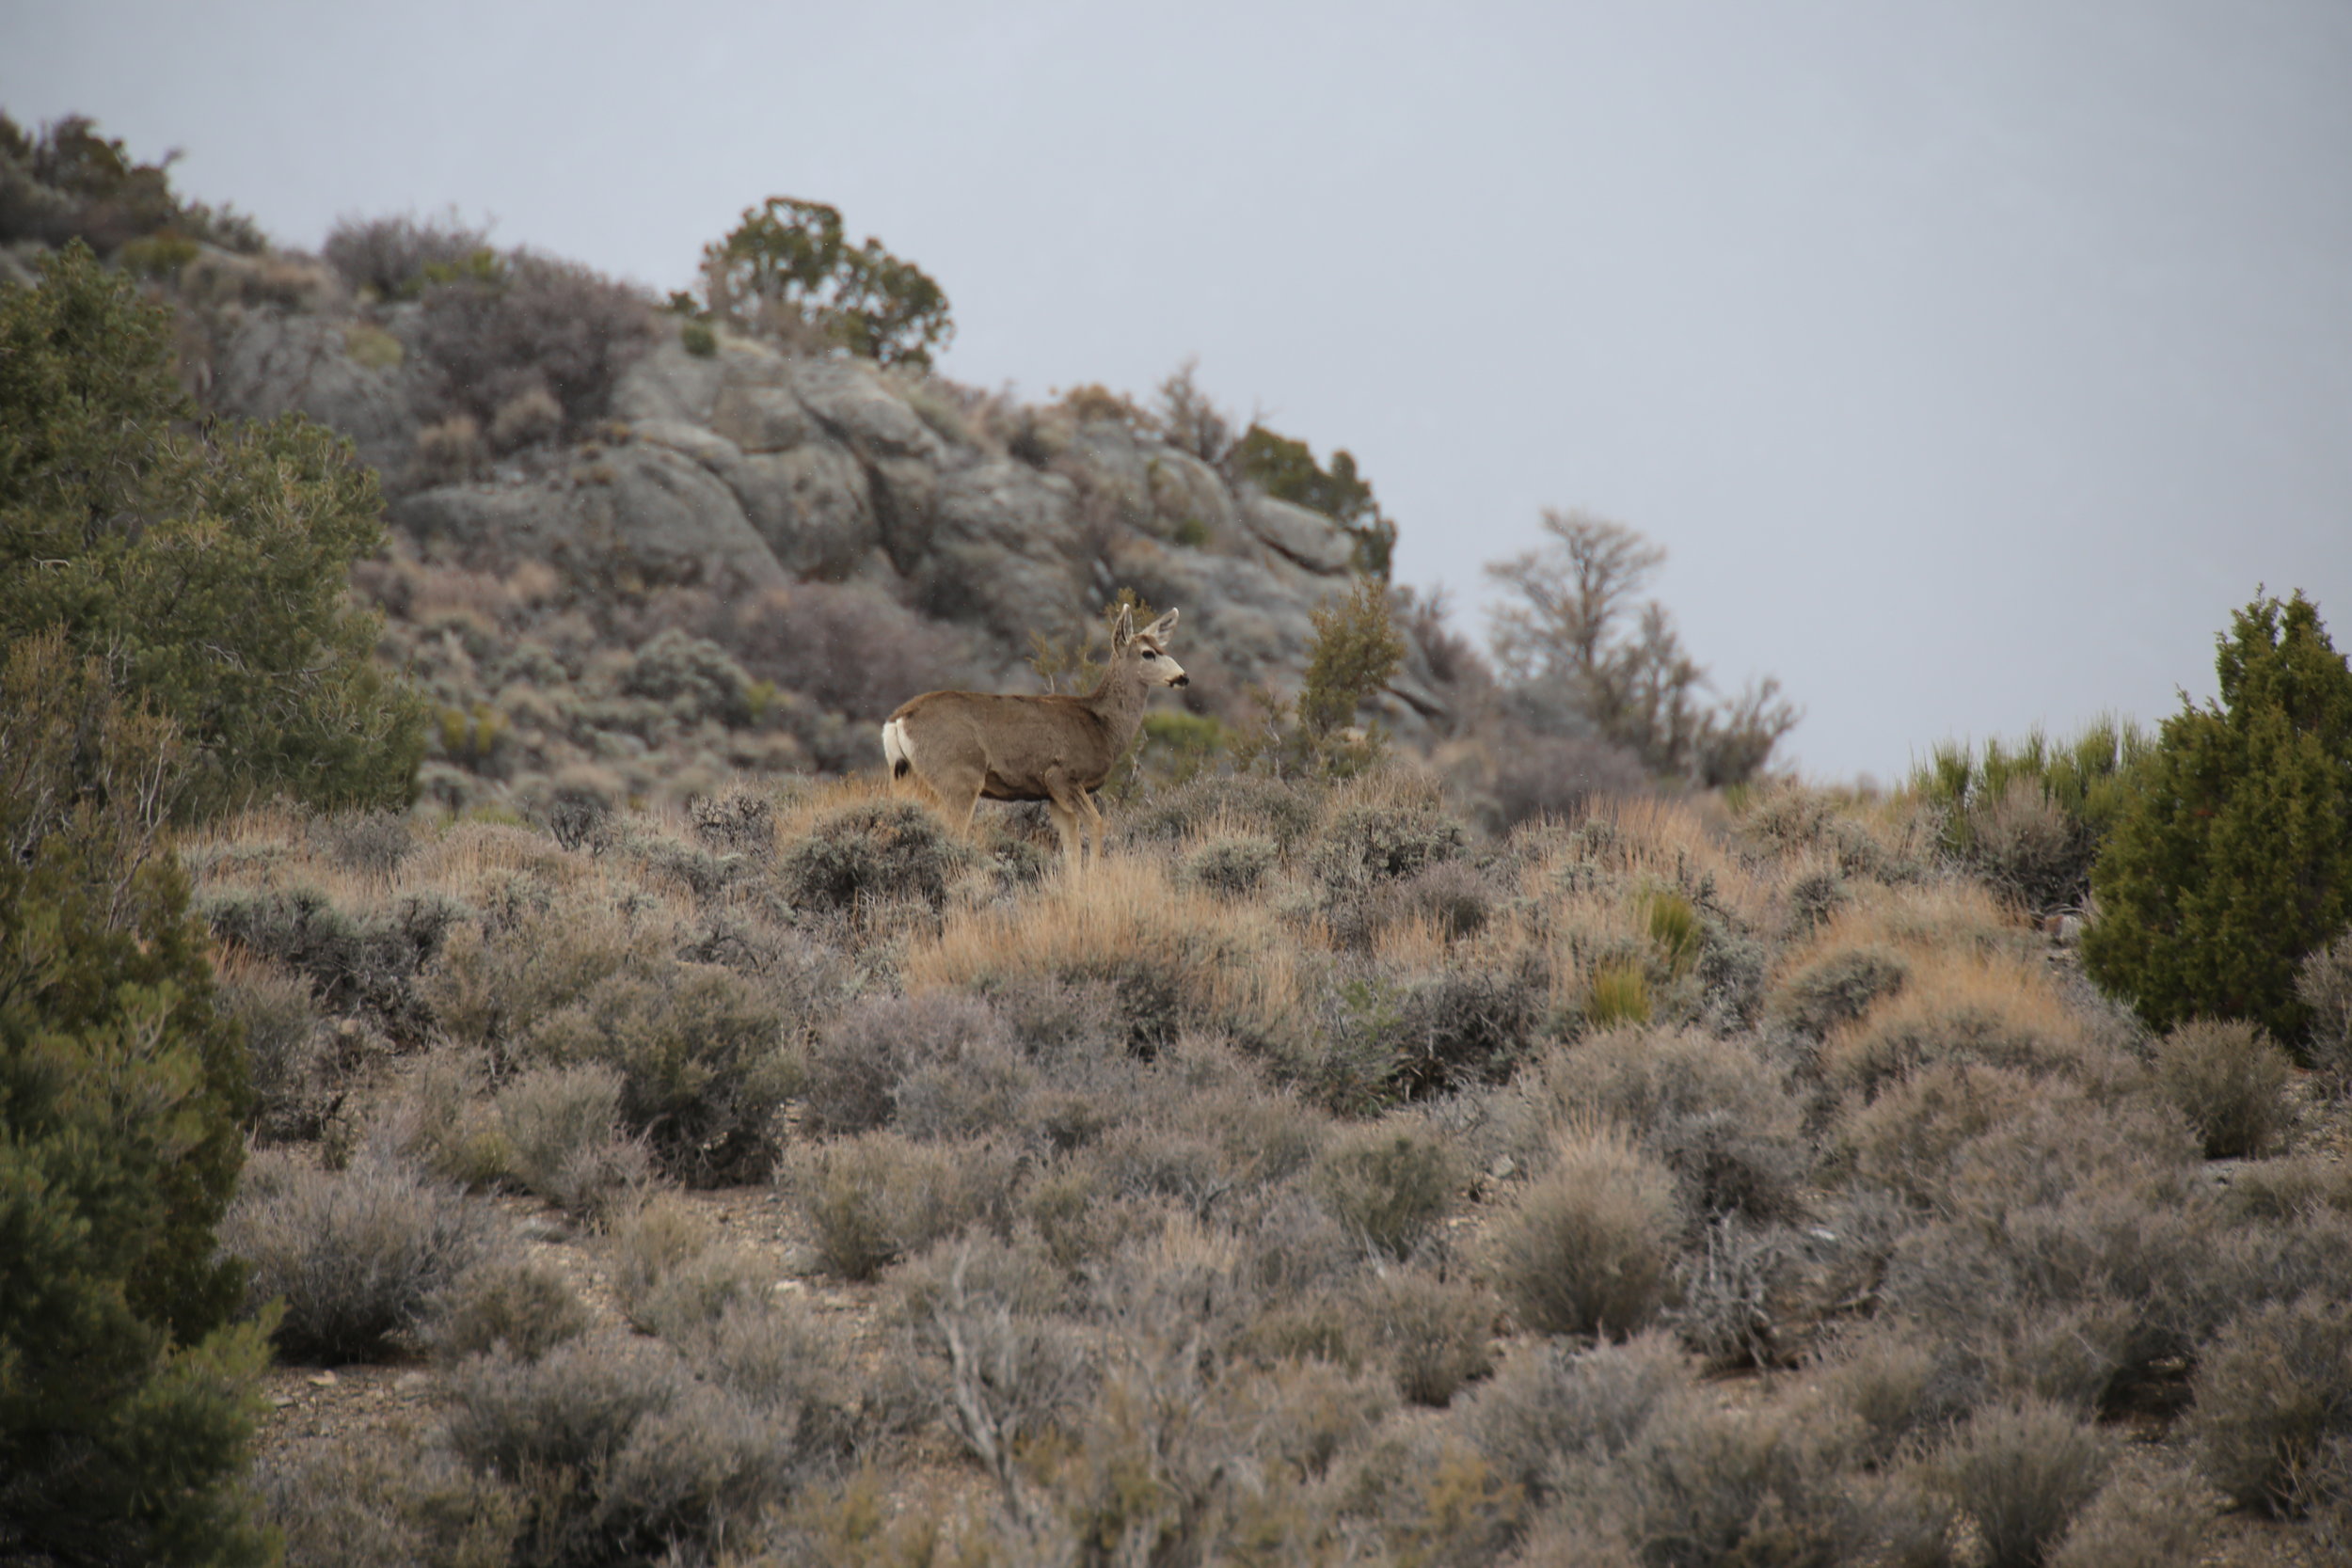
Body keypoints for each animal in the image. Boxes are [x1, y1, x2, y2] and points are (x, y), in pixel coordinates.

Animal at [881, 606, 1188, 867]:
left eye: (1163, 647)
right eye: (1148, 653)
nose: (1183, 677)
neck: (1103, 726)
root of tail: (898, 720)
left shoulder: (1053, 796)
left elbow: (1071, 850)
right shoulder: (1062, 776)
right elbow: (1097, 825)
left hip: (906, 777)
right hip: (957, 778)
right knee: (951, 833)